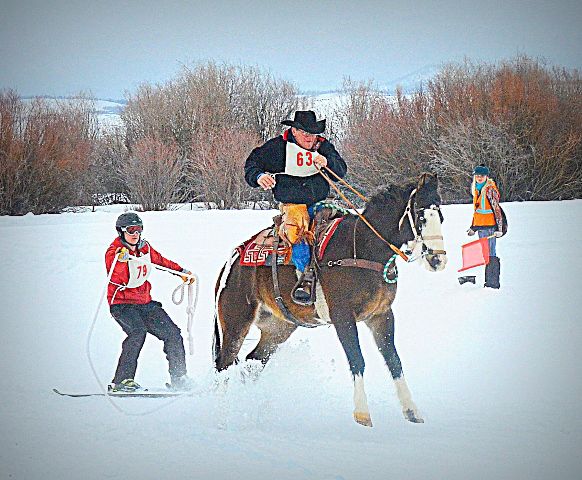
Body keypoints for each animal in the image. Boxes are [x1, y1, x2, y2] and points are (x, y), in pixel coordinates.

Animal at [213, 172, 448, 428]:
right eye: (421, 216)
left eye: (441, 216)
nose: (438, 260)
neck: (364, 248)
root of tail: (231, 262)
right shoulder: (342, 316)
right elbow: (357, 360)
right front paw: (362, 414)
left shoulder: (381, 315)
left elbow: (394, 360)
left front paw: (411, 411)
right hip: (236, 323)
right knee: (224, 366)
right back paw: (223, 417)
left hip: (278, 328)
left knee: (252, 362)